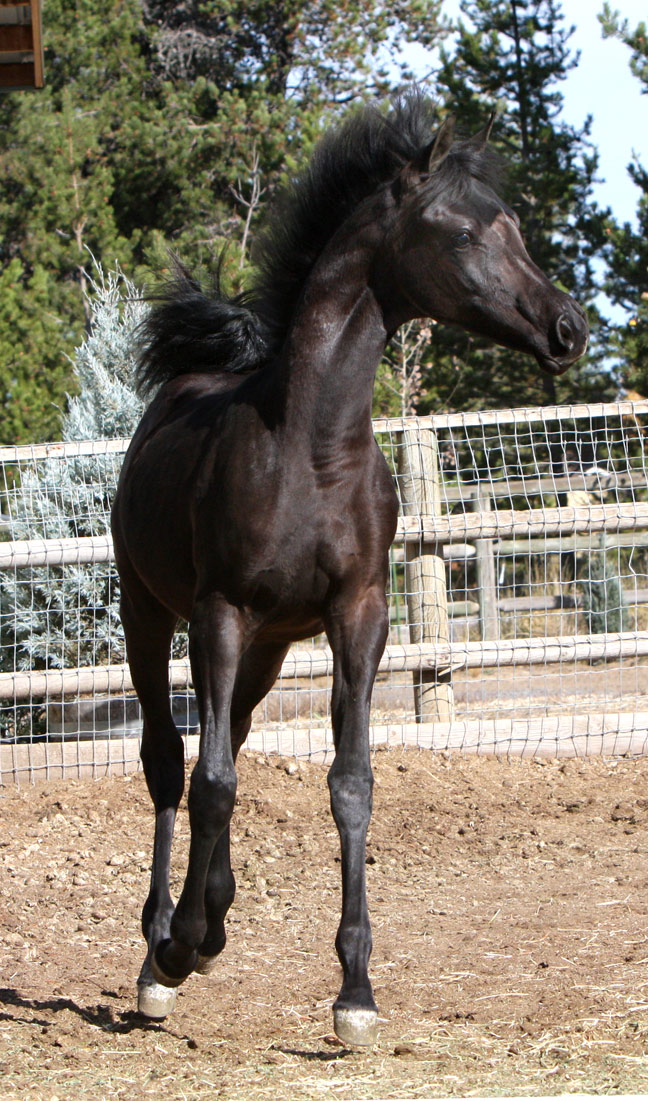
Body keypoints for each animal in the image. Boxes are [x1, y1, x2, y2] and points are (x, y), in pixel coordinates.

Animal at [111, 92, 585, 1039]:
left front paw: (355, 992)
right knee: (170, 762)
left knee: (232, 740)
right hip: (153, 616)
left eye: (514, 225)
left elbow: (350, 783)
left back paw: (212, 918)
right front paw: (180, 949)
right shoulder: (219, 611)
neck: (313, 449)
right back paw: (161, 952)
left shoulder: (358, 616)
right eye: (464, 233)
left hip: (267, 648)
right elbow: (209, 781)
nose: (568, 326)